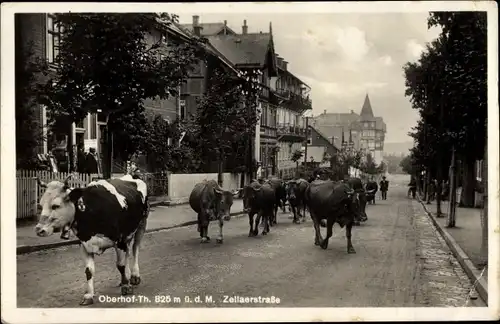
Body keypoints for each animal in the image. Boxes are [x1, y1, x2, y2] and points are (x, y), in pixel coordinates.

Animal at [34, 173, 148, 306]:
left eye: (55, 206)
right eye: (41, 205)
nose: (39, 230)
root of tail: (132, 175)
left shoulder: (119, 241)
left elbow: (121, 265)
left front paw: (126, 286)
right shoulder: (84, 244)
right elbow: (89, 271)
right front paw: (88, 295)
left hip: (141, 224)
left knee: (135, 250)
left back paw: (134, 276)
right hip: (128, 234)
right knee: (128, 251)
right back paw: (128, 276)